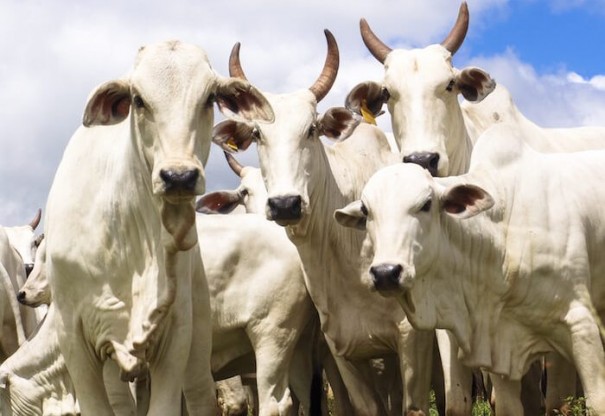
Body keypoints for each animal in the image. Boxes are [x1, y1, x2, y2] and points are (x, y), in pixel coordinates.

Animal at [40, 39, 272, 416]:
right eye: (138, 100)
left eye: (209, 98)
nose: (178, 176)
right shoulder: (74, 340)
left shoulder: (175, 338)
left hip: (197, 343)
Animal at [212, 30, 448, 416]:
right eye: (258, 135)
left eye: (311, 129)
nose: (285, 204)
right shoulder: (340, 350)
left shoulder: (411, 338)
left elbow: (413, 405)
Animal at [336, 125, 605, 414]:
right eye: (366, 211)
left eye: (426, 204)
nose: (386, 272)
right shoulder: (500, 344)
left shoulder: (581, 325)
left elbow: (597, 402)